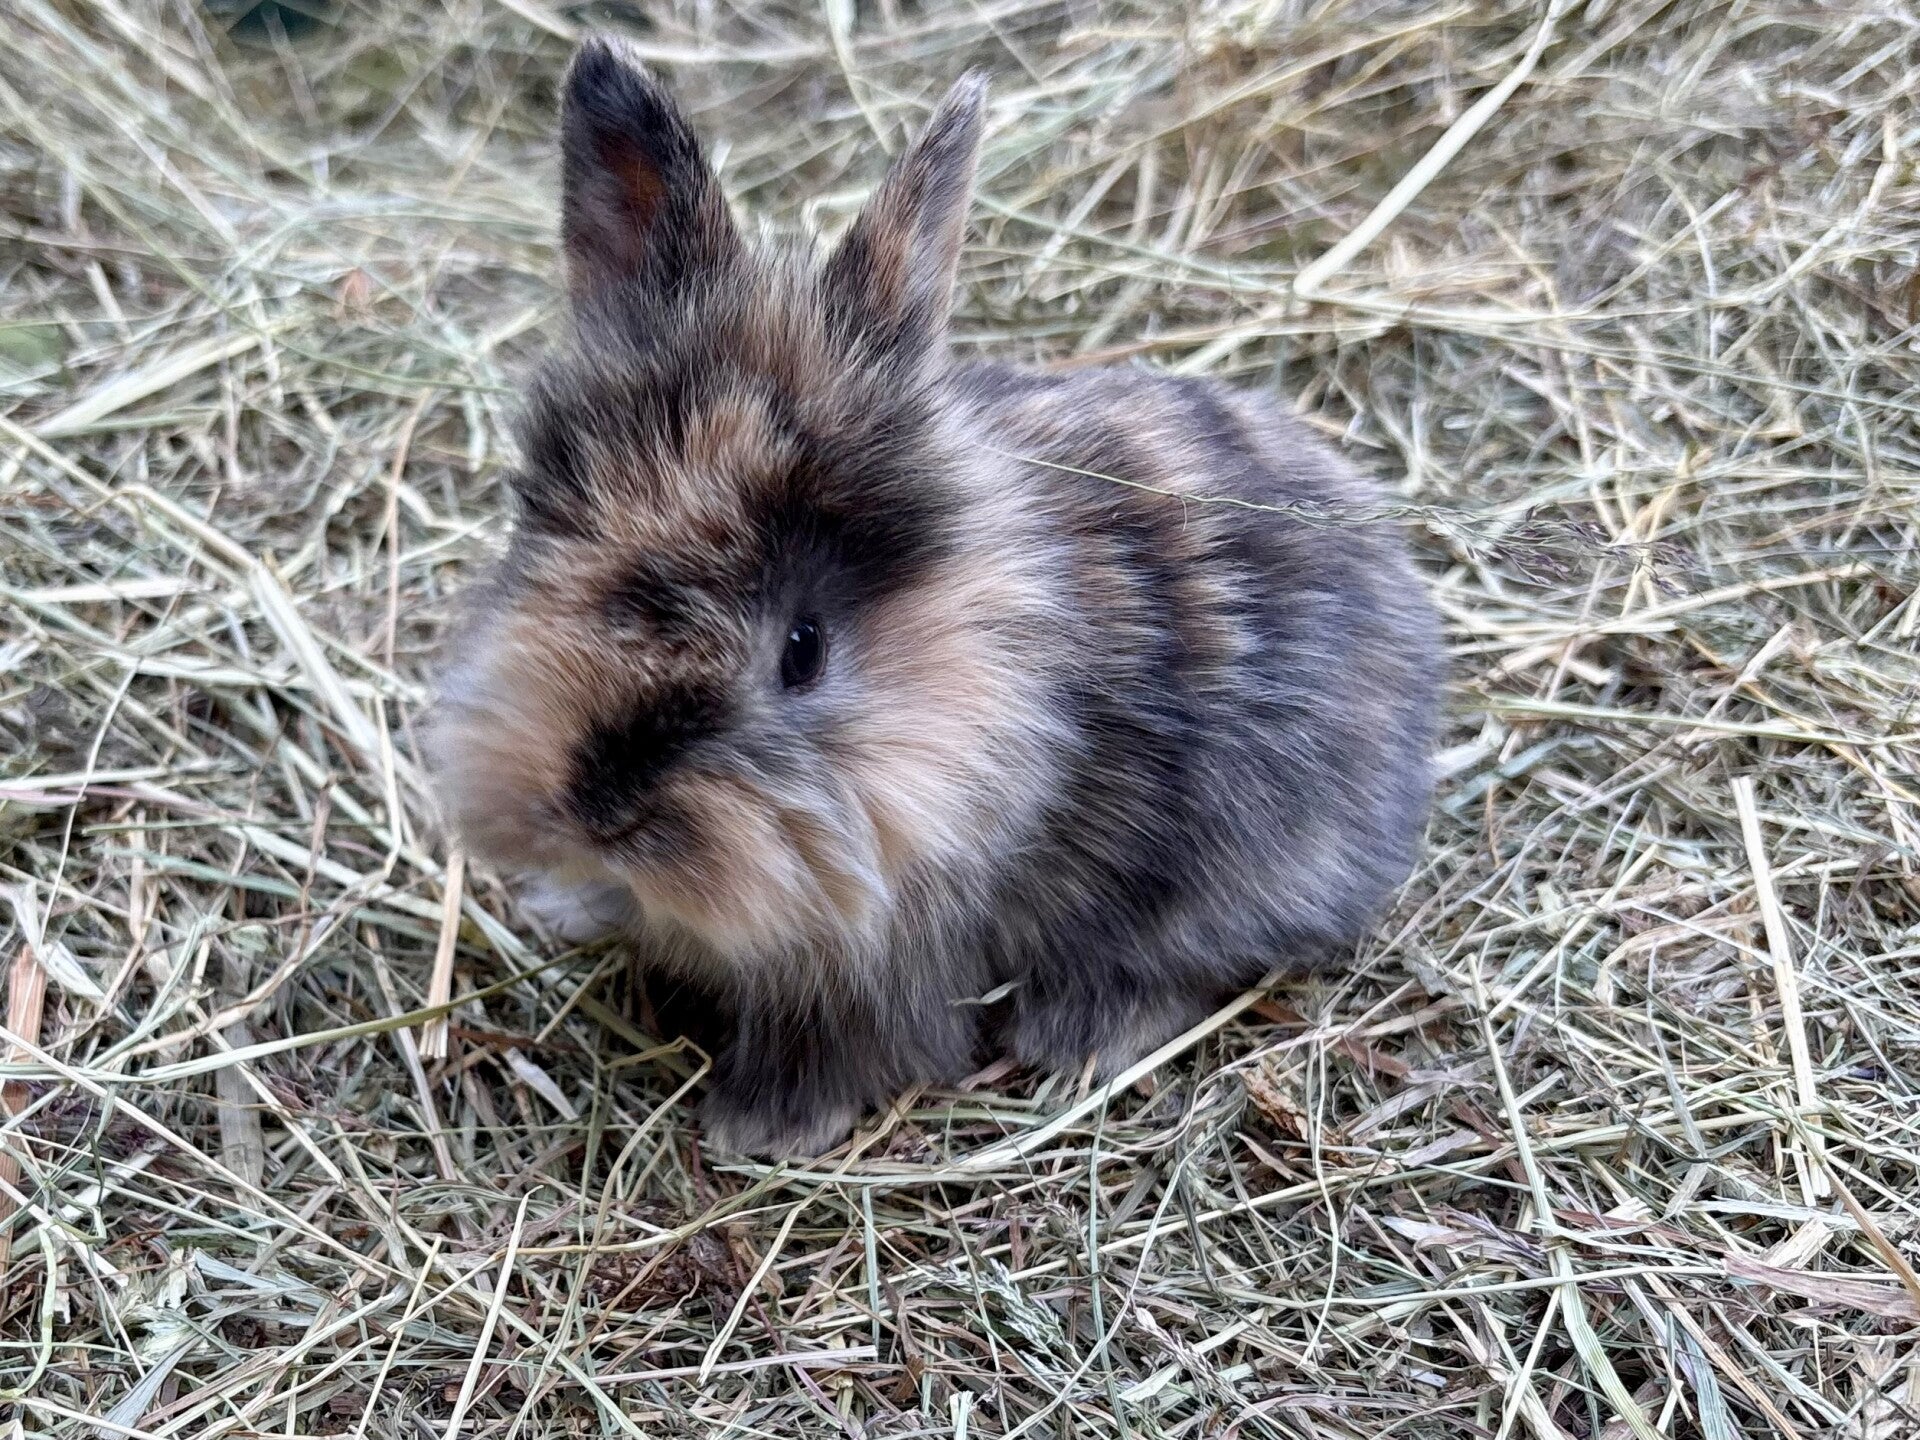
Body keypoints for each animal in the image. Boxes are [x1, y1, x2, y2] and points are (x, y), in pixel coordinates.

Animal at [427, 36, 1443, 1158]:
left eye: (803, 649)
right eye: (545, 537)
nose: (598, 811)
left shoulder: (888, 958)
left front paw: (758, 1128)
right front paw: (569, 907)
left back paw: (1076, 1033)